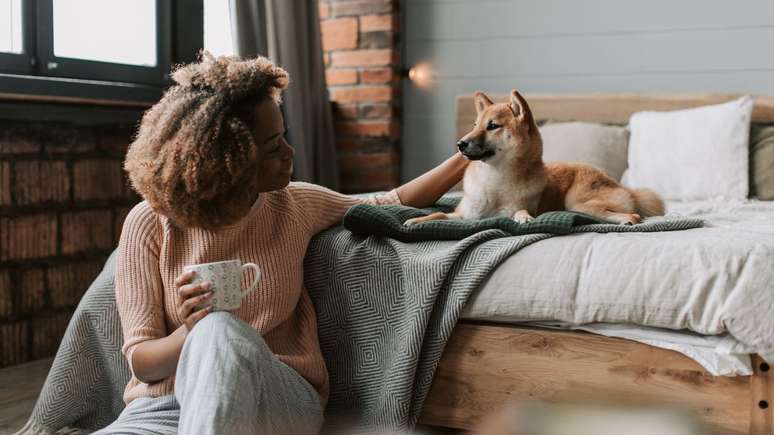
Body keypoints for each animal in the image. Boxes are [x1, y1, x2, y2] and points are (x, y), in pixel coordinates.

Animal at [406, 88, 668, 225]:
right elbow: (439, 213)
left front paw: (523, 217)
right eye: (475, 125)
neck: (494, 179)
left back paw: (625, 219)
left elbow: (519, 211)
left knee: (633, 215)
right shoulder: (463, 215)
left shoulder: (514, 207)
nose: (460, 144)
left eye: (493, 126)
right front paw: (415, 221)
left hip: (578, 202)